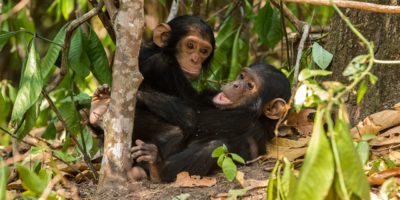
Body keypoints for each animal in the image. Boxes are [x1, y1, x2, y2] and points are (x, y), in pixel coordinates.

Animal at [131, 63, 290, 182]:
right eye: (242, 76)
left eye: (250, 85)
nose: (236, 84)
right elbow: (191, 99)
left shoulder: (239, 118)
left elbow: (192, 117)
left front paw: (140, 93)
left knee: (213, 145)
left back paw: (156, 167)